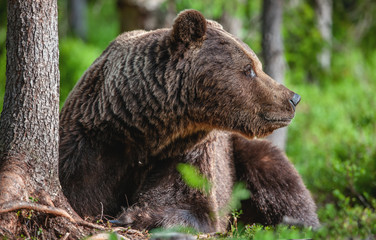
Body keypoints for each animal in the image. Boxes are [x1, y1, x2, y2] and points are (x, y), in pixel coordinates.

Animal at [60, 9, 318, 232]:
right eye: (249, 68)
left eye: (257, 64)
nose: (294, 98)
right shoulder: (91, 146)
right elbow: (82, 195)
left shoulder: (189, 151)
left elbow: (190, 203)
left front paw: (134, 215)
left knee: (277, 175)